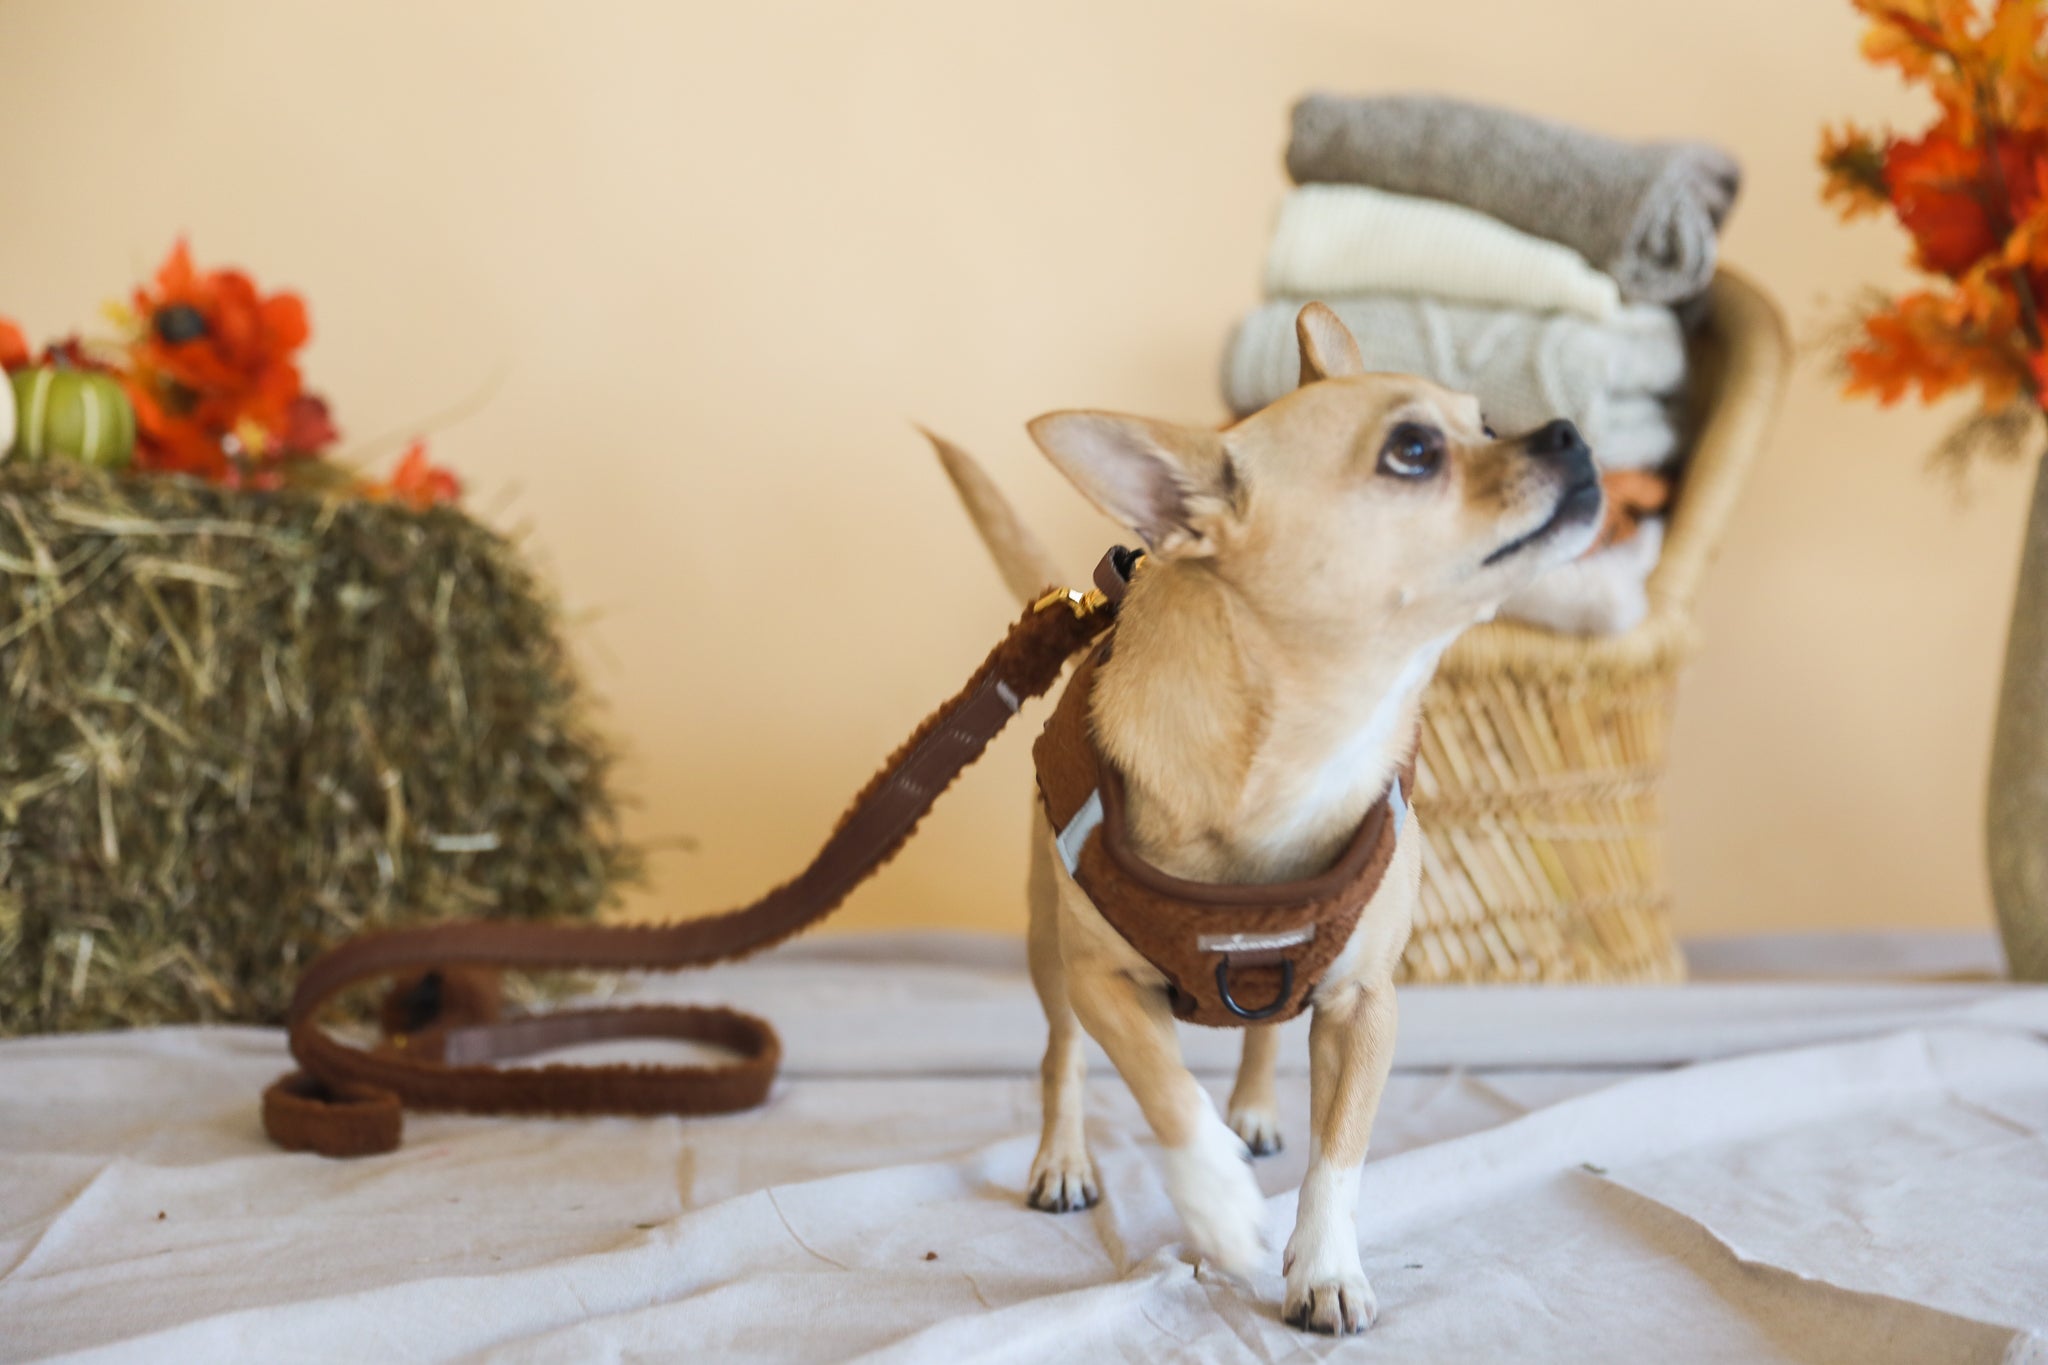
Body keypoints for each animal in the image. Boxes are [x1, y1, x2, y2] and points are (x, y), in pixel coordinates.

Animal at [929, 300, 1597, 1334]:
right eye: (1413, 450)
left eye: (1486, 422)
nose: (1569, 431)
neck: (1306, 745)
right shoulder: (1104, 983)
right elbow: (1163, 1089)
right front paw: (1217, 1204)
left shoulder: (1365, 1007)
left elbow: (1342, 1150)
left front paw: (1325, 1264)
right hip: (1050, 951)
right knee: (1062, 1058)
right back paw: (1065, 1158)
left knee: (1266, 1028)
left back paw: (1251, 1109)